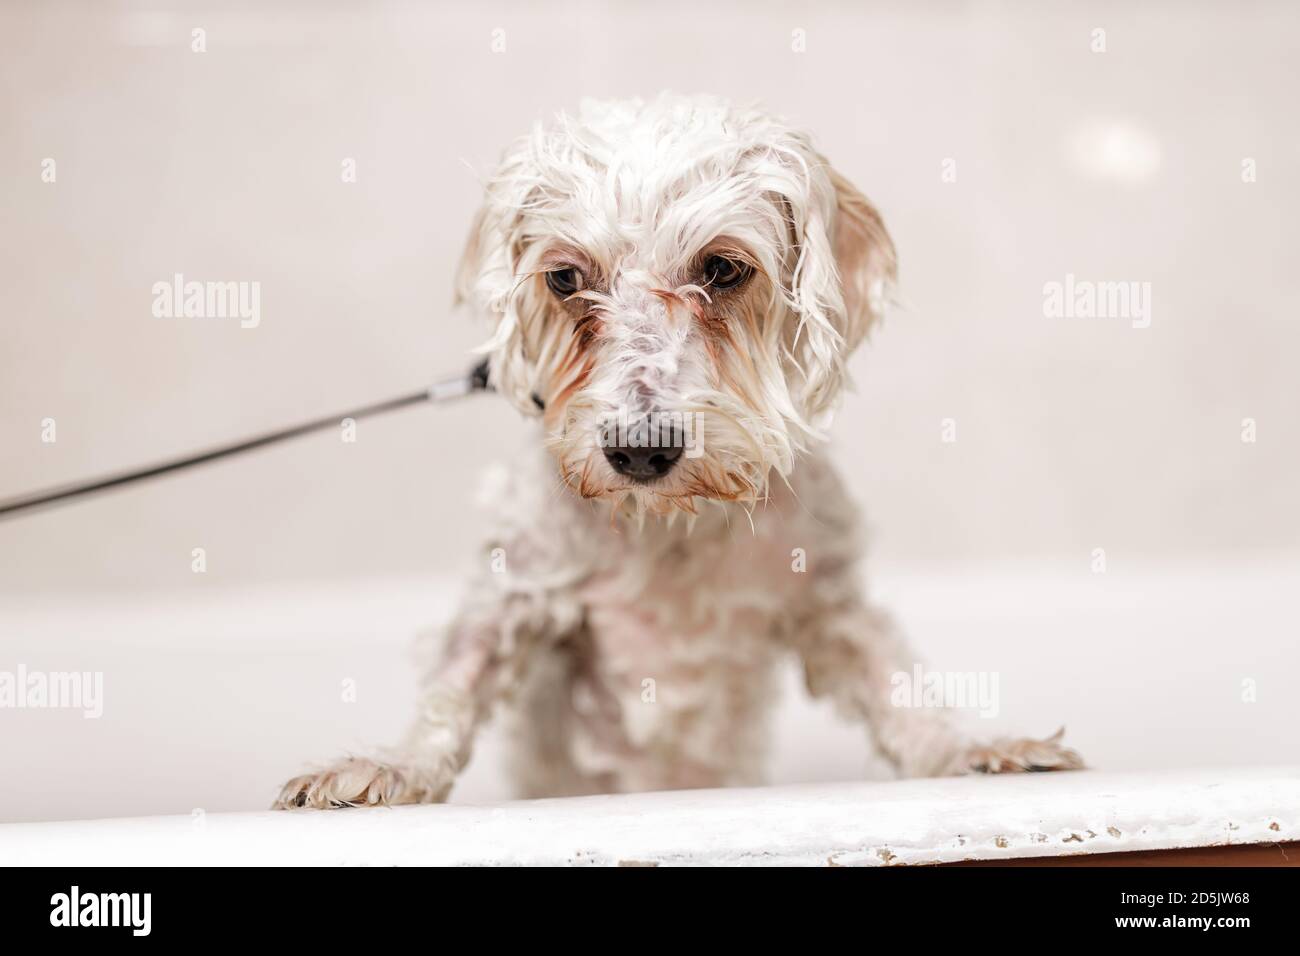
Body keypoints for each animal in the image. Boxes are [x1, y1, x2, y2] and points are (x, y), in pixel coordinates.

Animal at [276, 95, 1086, 806]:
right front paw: (383, 767)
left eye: (722, 268)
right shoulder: (517, 590)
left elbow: (894, 684)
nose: (640, 449)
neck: (670, 526)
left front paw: (978, 750)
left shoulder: (824, 598)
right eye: (565, 277)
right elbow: (455, 685)